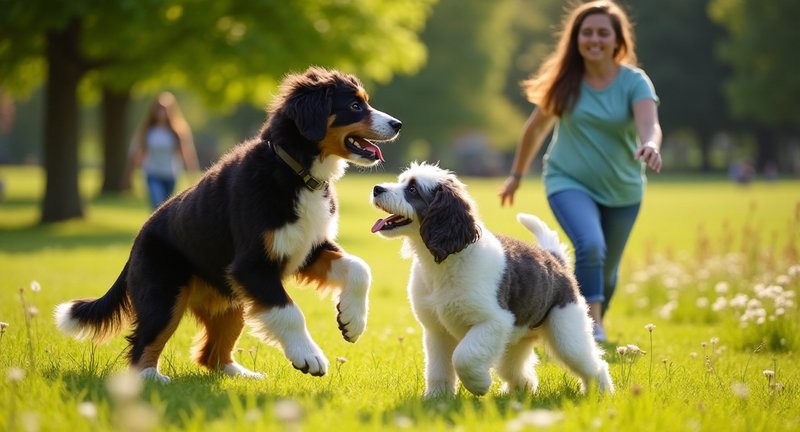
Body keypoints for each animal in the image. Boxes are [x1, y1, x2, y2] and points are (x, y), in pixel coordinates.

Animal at [54, 66, 400, 384]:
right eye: (354, 105)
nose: (397, 124)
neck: (295, 172)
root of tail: (137, 240)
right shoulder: (252, 265)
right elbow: (289, 312)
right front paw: (309, 356)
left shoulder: (306, 247)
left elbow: (359, 267)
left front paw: (352, 321)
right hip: (165, 294)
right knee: (143, 343)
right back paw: (152, 378)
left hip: (231, 301)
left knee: (211, 354)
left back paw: (243, 376)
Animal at [368, 163, 612, 398]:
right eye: (401, 181)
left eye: (412, 189)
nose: (377, 189)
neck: (444, 262)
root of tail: (554, 259)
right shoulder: (437, 330)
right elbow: (438, 369)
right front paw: (437, 398)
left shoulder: (494, 321)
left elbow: (463, 357)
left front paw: (479, 385)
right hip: (515, 340)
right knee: (517, 369)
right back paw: (518, 390)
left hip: (565, 331)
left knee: (592, 363)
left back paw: (601, 392)